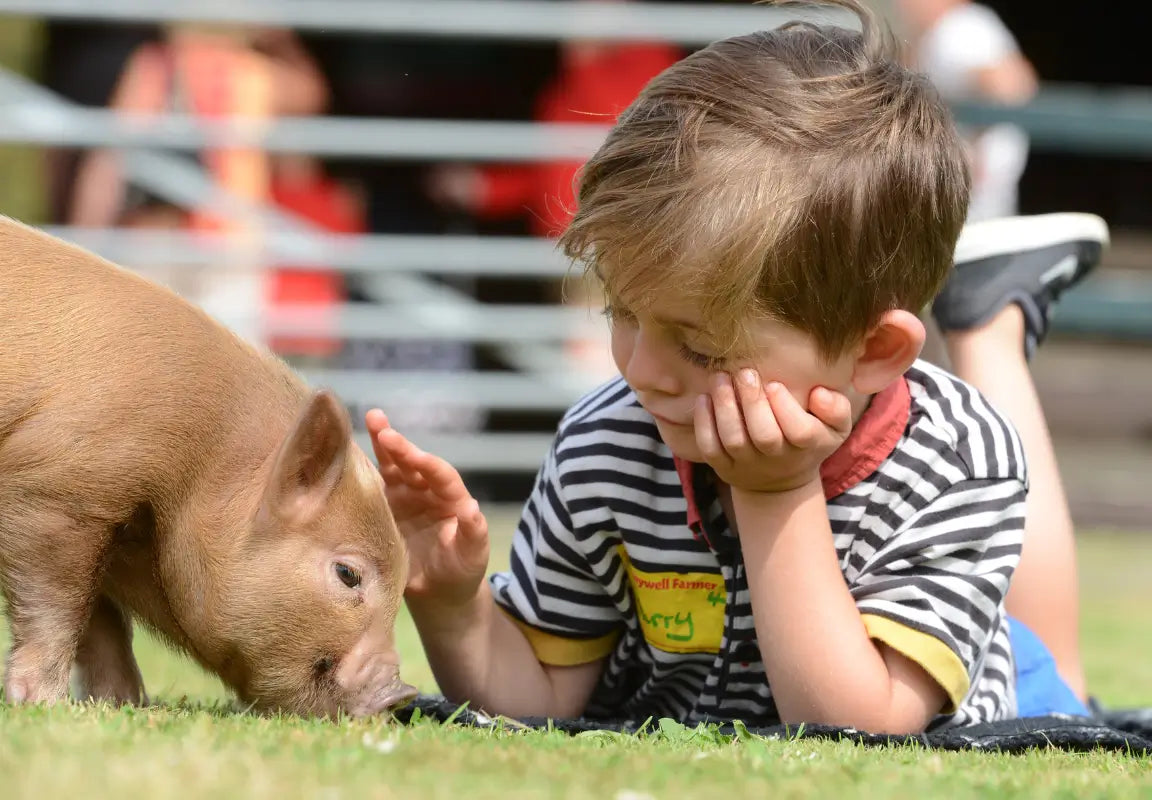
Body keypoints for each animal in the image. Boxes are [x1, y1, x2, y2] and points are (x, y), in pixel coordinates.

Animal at [0, 215, 417, 718]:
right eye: (348, 573)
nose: (400, 694)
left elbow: (102, 620)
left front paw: (123, 703)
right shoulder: (57, 494)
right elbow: (59, 607)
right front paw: (45, 704)